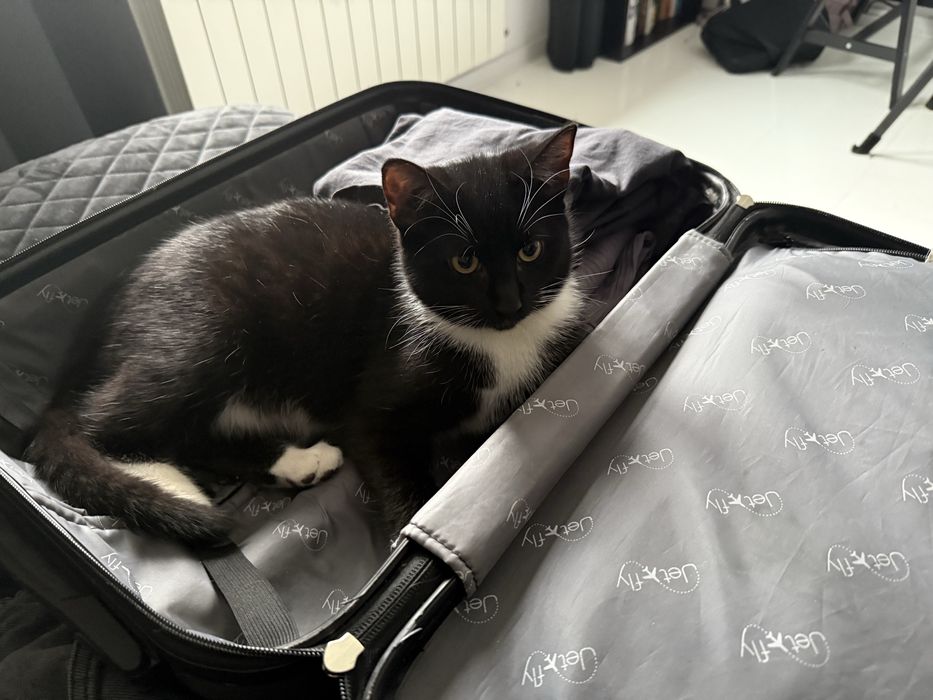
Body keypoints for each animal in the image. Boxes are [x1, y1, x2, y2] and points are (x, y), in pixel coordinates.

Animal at [25, 124, 584, 544]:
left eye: (530, 250)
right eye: (464, 262)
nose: (509, 303)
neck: (498, 342)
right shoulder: (374, 402)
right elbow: (392, 463)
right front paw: (409, 533)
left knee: (193, 435)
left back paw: (297, 462)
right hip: (202, 331)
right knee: (104, 426)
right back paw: (174, 489)